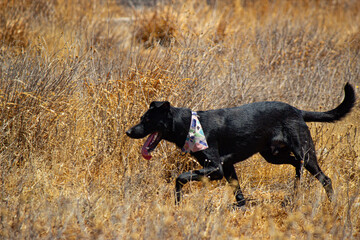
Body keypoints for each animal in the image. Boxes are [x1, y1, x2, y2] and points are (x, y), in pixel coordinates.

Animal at [126, 83, 354, 206]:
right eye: (141, 118)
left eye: (147, 120)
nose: (128, 132)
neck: (188, 124)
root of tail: (297, 110)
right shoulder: (228, 167)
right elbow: (239, 194)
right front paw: (240, 209)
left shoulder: (216, 168)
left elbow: (180, 177)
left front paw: (178, 203)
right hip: (272, 155)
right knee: (295, 165)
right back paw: (295, 191)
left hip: (304, 153)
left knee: (325, 179)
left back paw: (332, 204)